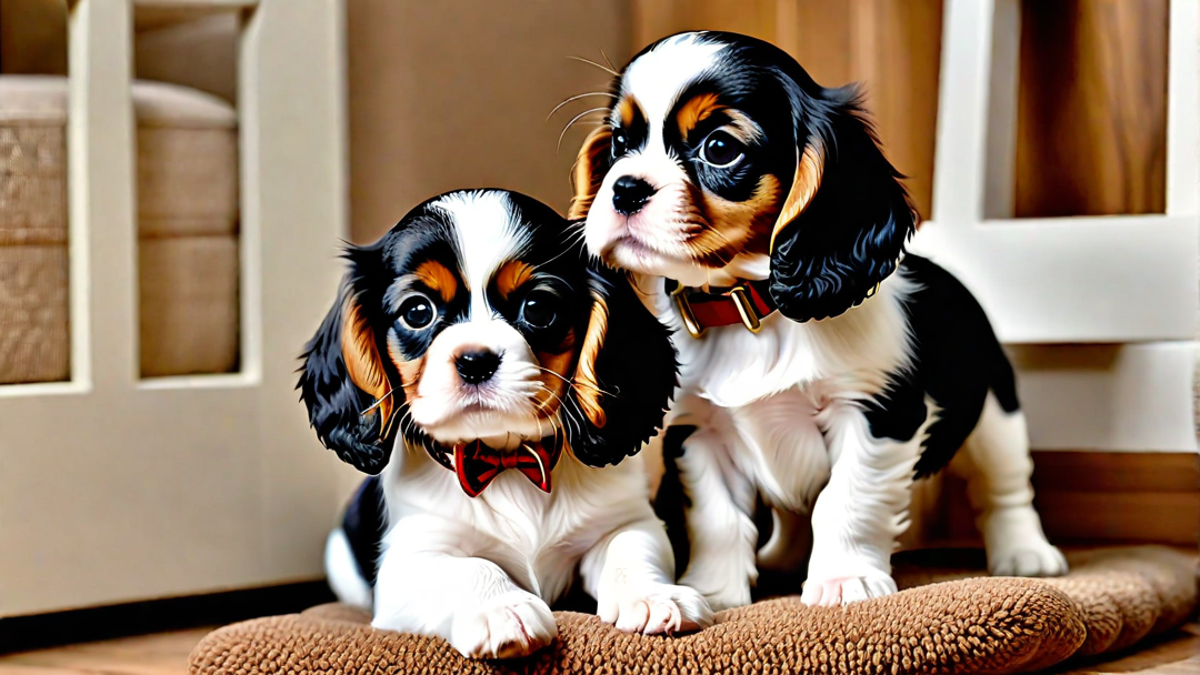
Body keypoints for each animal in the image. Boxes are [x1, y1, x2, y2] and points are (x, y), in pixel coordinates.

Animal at [302, 189, 710, 658]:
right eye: (417, 312)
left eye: (538, 308)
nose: (474, 360)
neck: (507, 461)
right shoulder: (409, 560)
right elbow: (470, 567)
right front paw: (500, 610)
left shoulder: (626, 521)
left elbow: (631, 550)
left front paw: (656, 596)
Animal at [571, 32, 1070, 610]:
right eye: (617, 144)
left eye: (719, 147)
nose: (625, 188)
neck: (749, 312)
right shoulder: (698, 433)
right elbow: (719, 519)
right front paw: (714, 591)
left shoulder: (876, 415)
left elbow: (845, 500)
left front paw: (844, 580)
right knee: (792, 517)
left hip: (996, 414)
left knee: (1005, 489)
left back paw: (1025, 553)